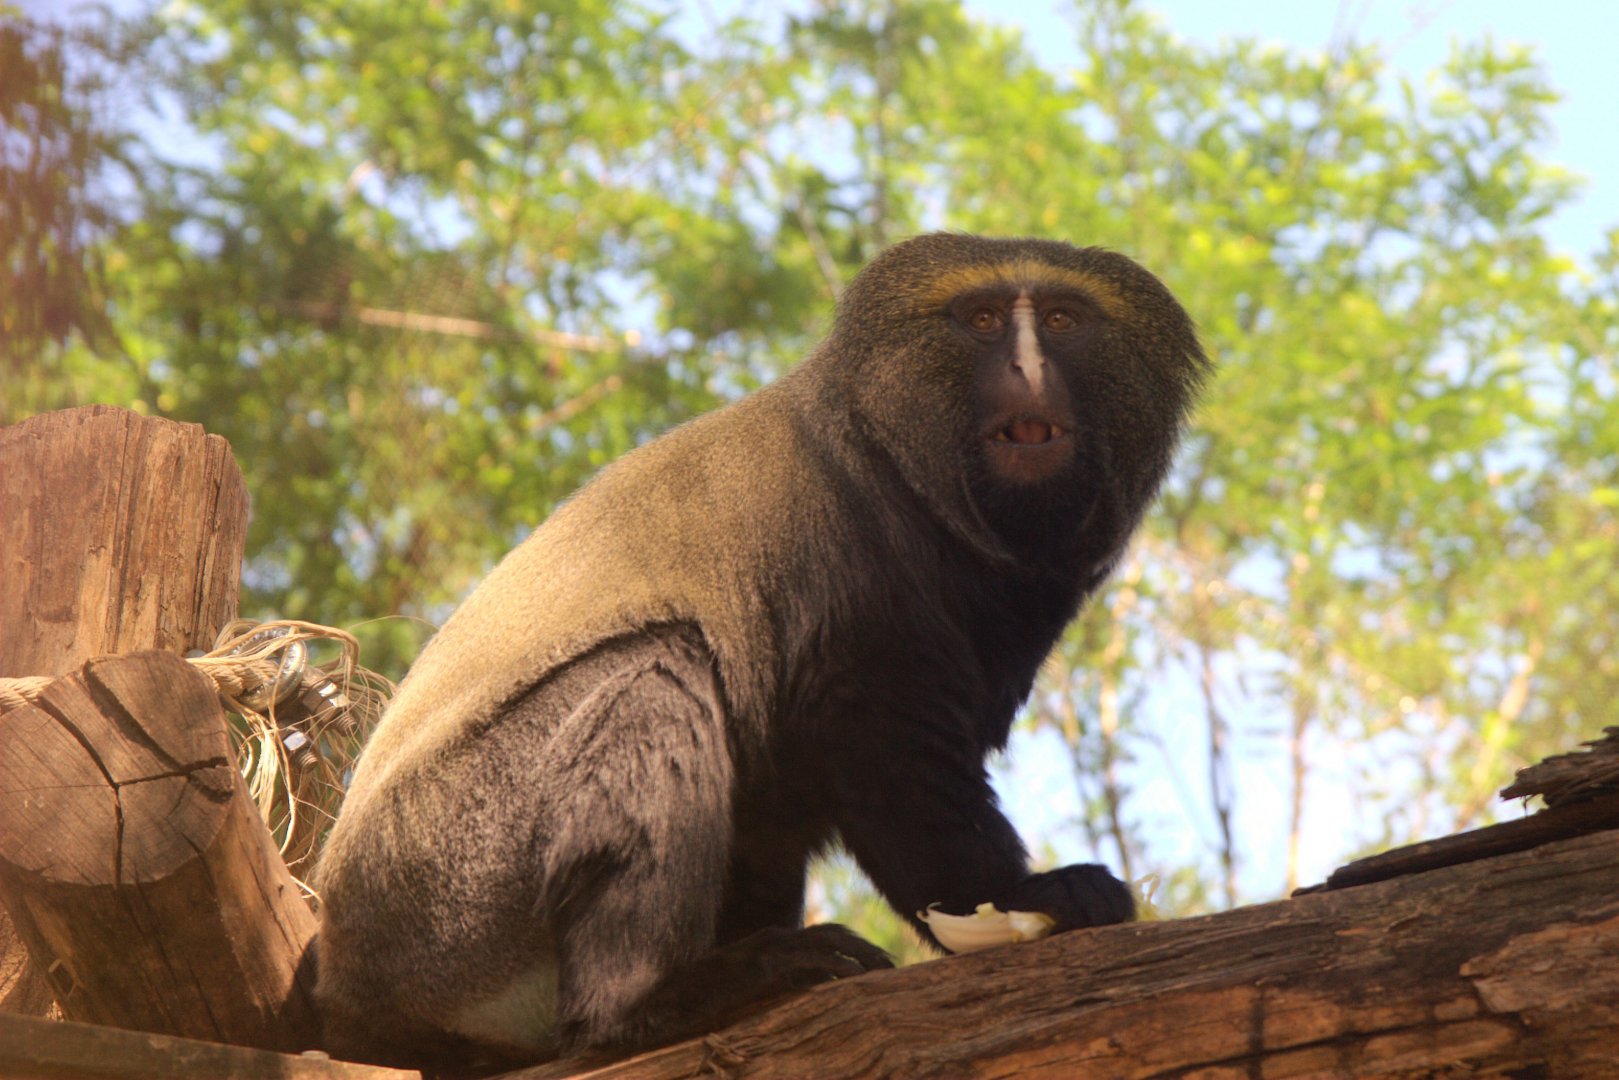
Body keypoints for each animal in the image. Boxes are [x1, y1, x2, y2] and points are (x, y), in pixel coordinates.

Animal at [313, 233, 1210, 1069]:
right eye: (984, 320)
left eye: (1059, 320)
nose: (1027, 367)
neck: (895, 459)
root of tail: (345, 988)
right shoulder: (856, 606)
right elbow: (897, 771)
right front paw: (1029, 896)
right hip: (453, 892)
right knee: (653, 669)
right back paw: (646, 1001)